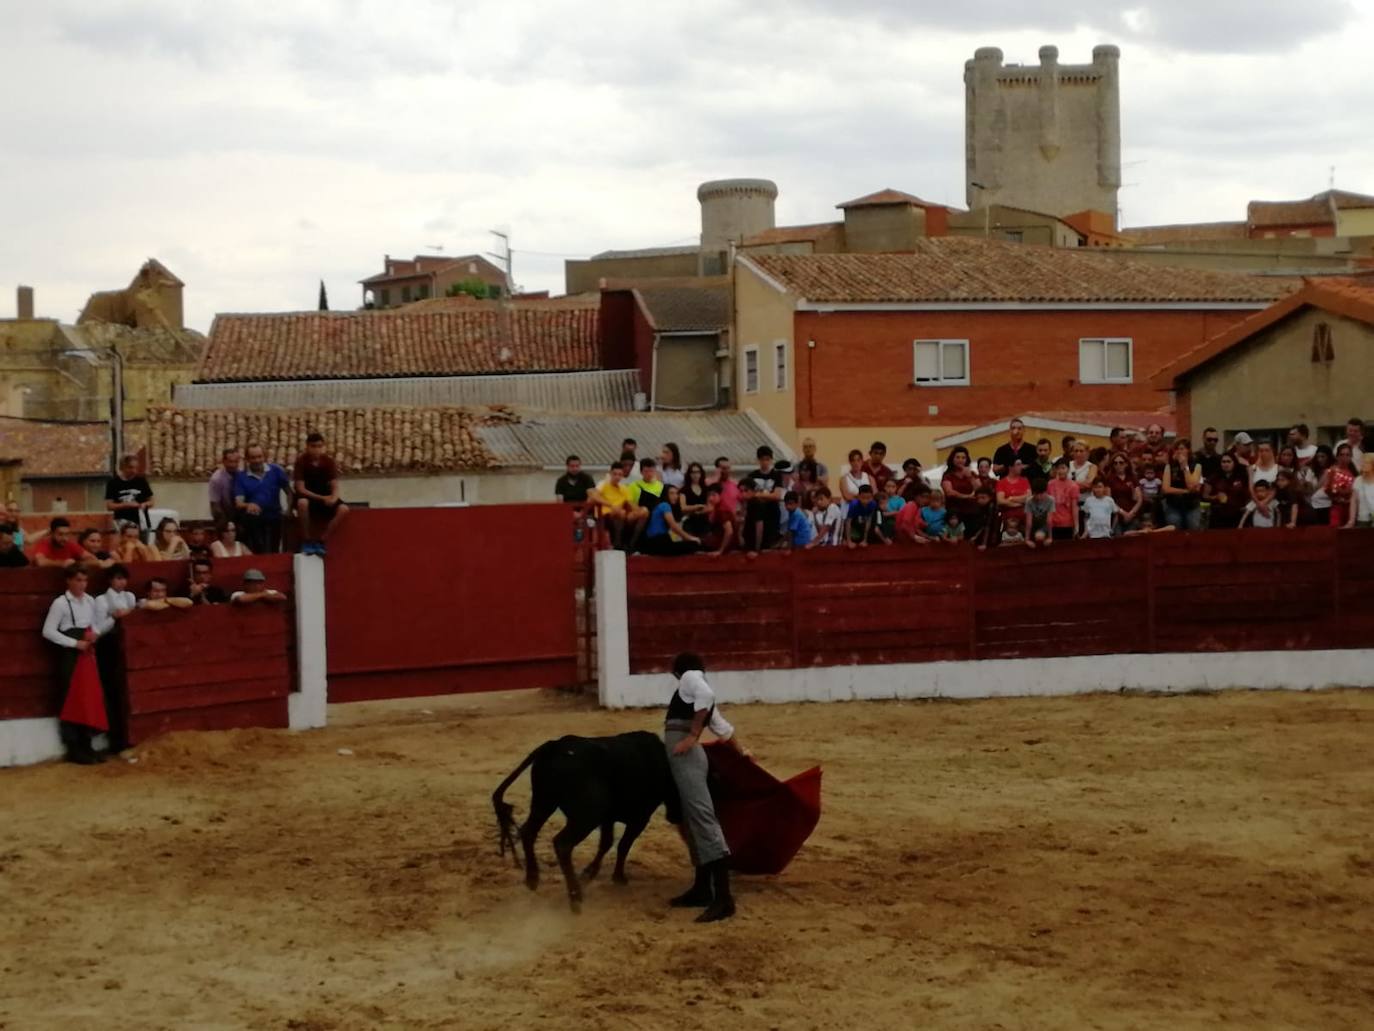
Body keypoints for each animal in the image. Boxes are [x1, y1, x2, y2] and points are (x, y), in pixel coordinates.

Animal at [497, 736, 684, 912]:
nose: (675, 817)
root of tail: (555, 745)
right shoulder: (640, 818)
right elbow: (623, 845)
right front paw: (618, 877)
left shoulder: (608, 818)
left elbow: (607, 842)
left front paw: (589, 873)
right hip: (586, 816)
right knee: (562, 843)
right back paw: (575, 896)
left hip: (543, 802)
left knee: (528, 832)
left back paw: (532, 878)